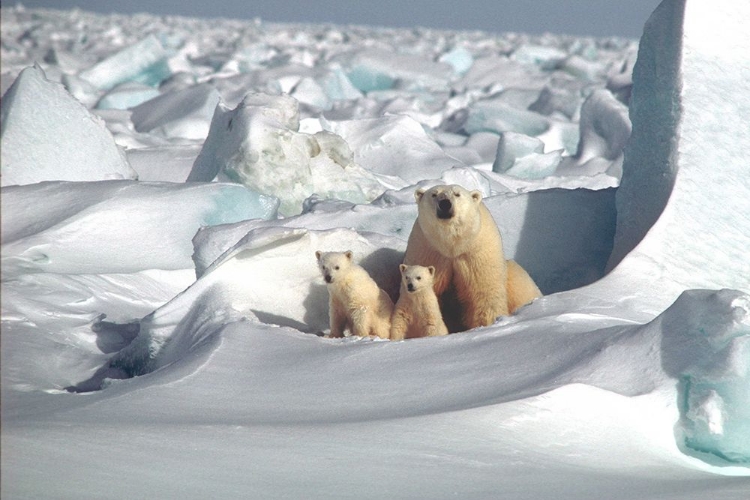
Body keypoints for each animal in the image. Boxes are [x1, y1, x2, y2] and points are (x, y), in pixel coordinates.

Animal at [402, 185, 544, 332]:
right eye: (434, 194)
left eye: (457, 194)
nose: (445, 204)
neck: (452, 246)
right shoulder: (428, 252)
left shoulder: (476, 253)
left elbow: (484, 293)